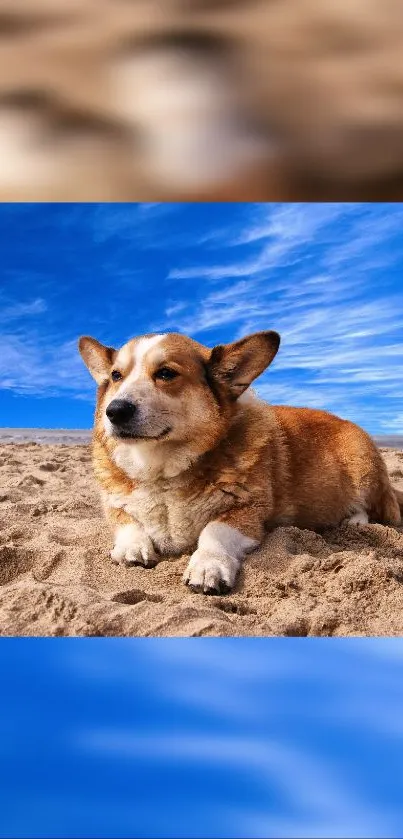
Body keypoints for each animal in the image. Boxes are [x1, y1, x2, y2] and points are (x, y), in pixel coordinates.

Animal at [79, 332, 403, 592]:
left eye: (166, 373)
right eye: (116, 376)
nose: (114, 412)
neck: (160, 467)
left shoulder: (246, 512)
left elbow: (214, 530)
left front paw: (207, 566)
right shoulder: (115, 504)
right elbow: (127, 522)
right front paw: (131, 548)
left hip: (361, 466)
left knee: (371, 508)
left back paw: (354, 523)